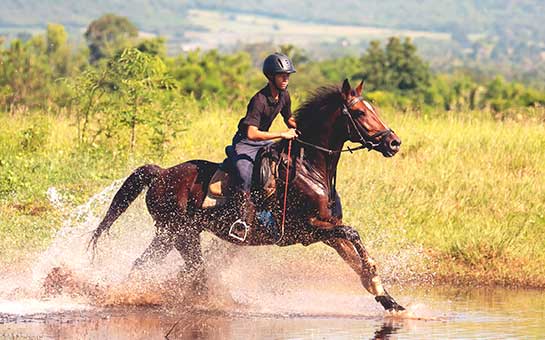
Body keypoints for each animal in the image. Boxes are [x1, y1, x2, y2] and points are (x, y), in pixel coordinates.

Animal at [89, 78, 404, 312]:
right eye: (361, 113)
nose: (394, 142)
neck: (309, 168)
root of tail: (162, 173)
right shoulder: (307, 230)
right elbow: (353, 233)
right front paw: (376, 278)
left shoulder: (328, 230)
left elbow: (354, 259)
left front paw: (388, 299)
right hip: (181, 233)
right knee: (194, 272)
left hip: (168, 235)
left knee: (145, 265)